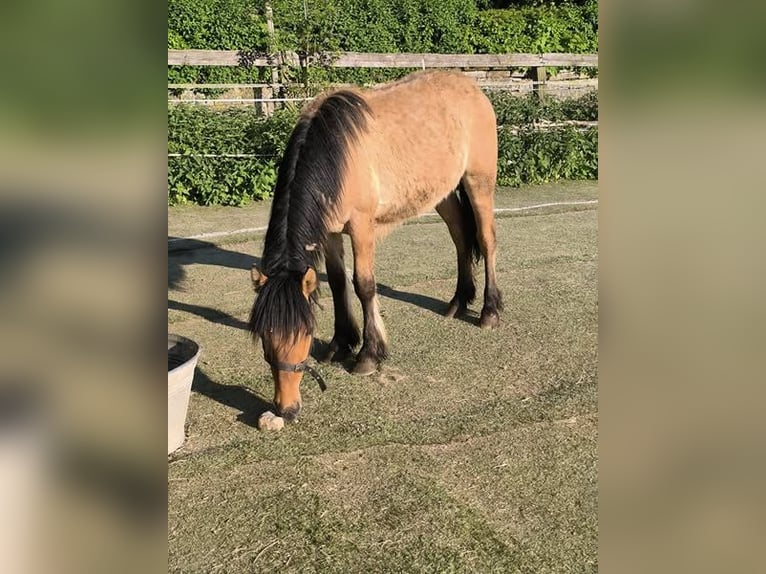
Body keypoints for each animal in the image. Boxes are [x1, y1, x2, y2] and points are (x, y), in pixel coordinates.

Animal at [248, 70, 502, 421]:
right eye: (264, 336)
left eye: (302, 333)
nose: (285, 408)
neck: (338, 154)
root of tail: (472, 87)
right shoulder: (330, 233)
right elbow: (338, 284)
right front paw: (341, 344)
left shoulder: (361, 227)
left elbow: (363, 285)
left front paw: (368, 354)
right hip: (443, 193)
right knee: (460, 238)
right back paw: (458, 302)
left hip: (479, 182)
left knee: (486, 240)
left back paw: (489, 312)